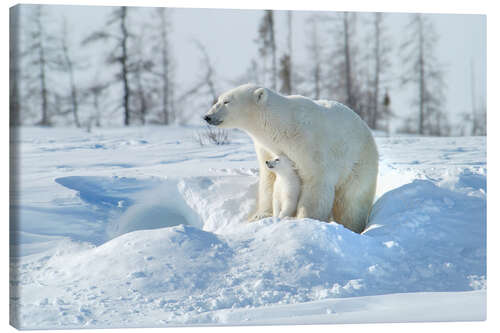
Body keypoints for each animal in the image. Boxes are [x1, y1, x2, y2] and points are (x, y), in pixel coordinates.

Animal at [204, 83, 378, 233]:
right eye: (218, 99)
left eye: (227, 101)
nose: (207, 116)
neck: (282, 126)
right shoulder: (266, 148)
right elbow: (268, 180)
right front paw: (260, 216)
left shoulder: (309, 144)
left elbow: (316, 182)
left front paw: (303, 219)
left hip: (359, 164)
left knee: (351, 202)